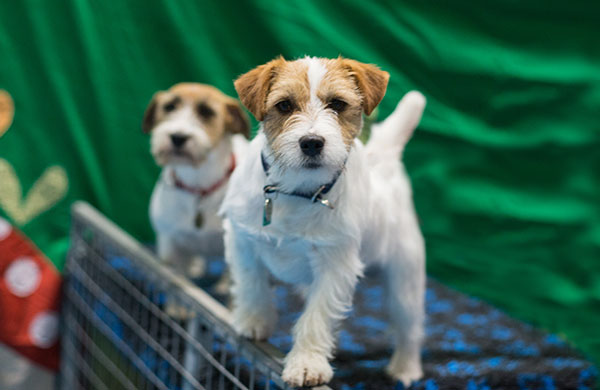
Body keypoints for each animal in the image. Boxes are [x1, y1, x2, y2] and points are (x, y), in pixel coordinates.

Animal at [220, 57, 426, 386]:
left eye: (338, 104)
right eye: (284, 105)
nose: (312, 143)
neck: (296, 191)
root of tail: (383, 160)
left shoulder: (335, 266)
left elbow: (317, 316)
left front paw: (307, 363)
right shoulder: (241, 239)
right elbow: (252, 282)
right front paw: (253, 321)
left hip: (405, 278)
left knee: (409, 324)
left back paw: (406, 368)